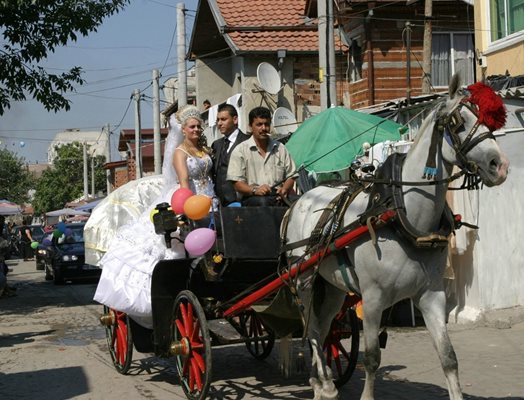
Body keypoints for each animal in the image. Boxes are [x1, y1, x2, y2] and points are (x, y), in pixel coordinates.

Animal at [284, 76, 510, 400]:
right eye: (459, 121)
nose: (499, 165)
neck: (402, 217)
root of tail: (298, 200)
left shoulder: (432, 296)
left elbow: (448, 357)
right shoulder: (373, 298)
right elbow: (371, 358)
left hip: (332, 287)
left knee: (324, 328)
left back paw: (319, 381)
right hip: (302, 281)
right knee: (312, 330)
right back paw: (324, 384)